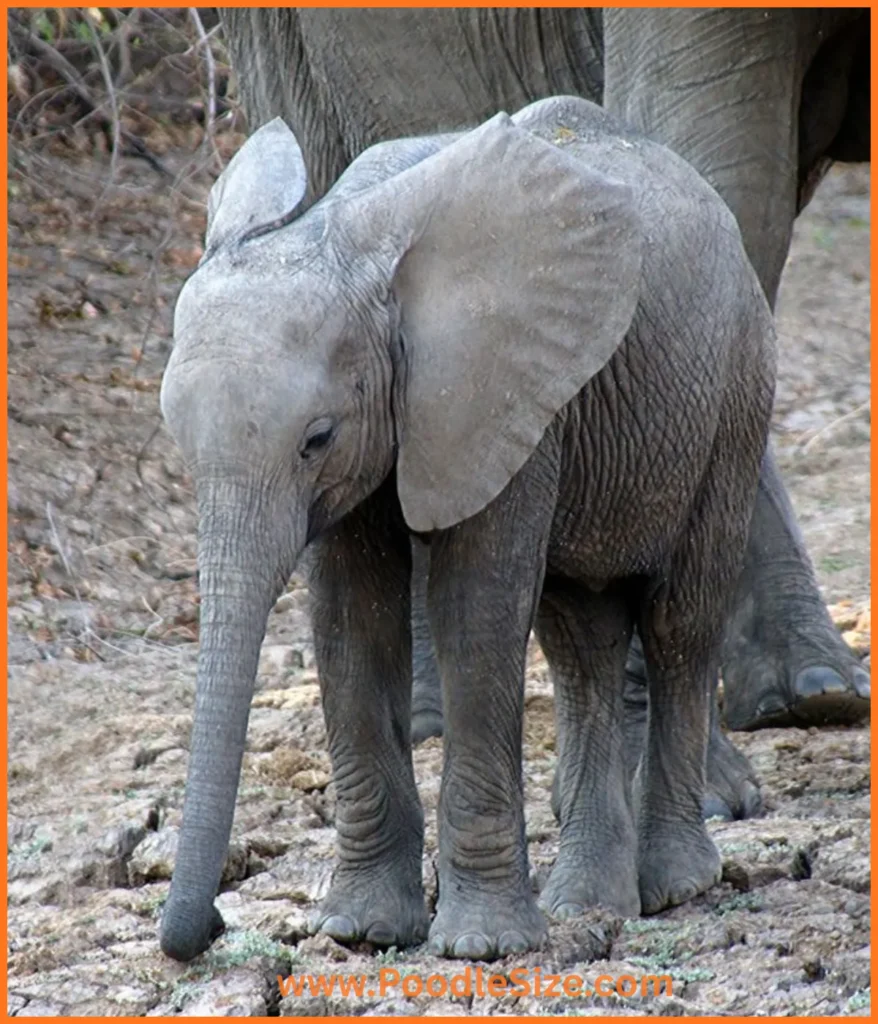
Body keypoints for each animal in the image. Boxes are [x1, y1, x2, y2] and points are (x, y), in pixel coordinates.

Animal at [159, 96, 776, 962]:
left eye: (317, 438)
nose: (211, 924)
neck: (341, 235)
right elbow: (352, 621)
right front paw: (362, 931)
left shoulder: (500, 387)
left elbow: (474, 613)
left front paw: (481, 947)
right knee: (579, 639)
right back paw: (592, 902)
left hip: (736, 388)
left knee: (680, 621)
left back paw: (674, 887)